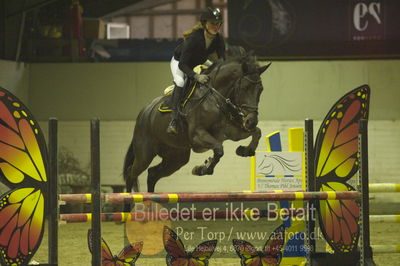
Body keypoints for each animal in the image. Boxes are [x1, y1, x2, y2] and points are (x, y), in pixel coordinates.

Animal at [123, 48, 270, 192]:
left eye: (261, 90)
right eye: (245, 88)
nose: (251, 121)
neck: (216, 99)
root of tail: (144, 112)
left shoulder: (231, 132)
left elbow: (257, 132)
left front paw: (245, 150)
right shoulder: (197, 135)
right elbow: (218, 149)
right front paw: (203, 168)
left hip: (176, 157)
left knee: (153, 173)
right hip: (145, 154)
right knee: (131, 173)